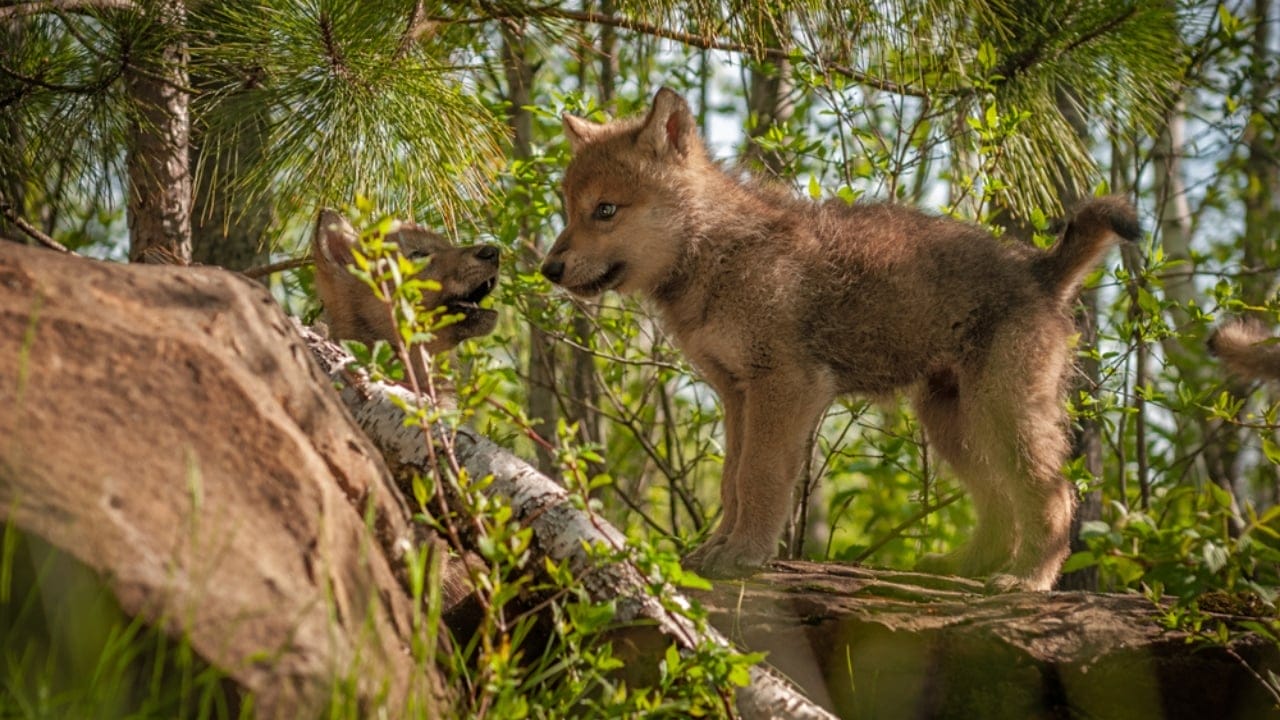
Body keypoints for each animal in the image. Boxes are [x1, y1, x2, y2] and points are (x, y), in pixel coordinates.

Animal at [540, 87, 1140, 591]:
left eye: (605, 210)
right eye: (567, 209)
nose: (548, 269)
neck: (716, 251)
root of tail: (1040, 268)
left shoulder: (786, 387)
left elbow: (757, 478)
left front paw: (743, 556)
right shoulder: (737, 394)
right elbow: (733, 481)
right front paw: (716, 550)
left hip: (1002, 413)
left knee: (1054, 494)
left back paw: (1027, 580)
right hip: (953, 421)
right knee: (997, 503)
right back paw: (961, 566)